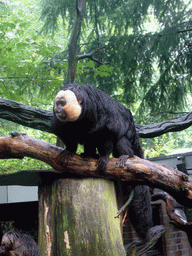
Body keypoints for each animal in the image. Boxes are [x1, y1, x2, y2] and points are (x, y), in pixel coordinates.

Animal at [51, 83, 152, 242]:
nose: (58, 109)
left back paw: (125, 156)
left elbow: (107, 132)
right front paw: (71, 150)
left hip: (129, 136)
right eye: (57, 103)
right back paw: (89, 155)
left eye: (62, 103)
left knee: (120, 138)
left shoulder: (99, 111)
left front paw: (104, 156)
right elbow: (69, 133)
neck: (83, 112)